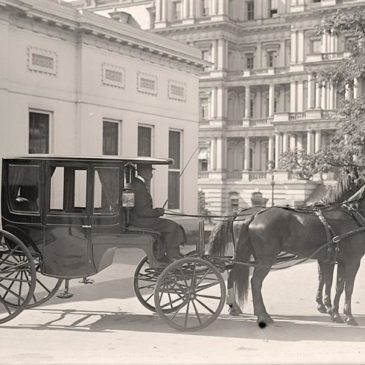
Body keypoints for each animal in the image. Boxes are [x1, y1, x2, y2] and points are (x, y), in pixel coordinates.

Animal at [208, 176, 364, 324]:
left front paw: (333, 311)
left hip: (244, 254)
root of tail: (252, 216)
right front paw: (346, 315)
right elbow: (342, 286)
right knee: (255, 282)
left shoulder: (336, 260)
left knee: (232, 274)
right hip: (265, 259)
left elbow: (336, 285)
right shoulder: (350, 261)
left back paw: (235, 307)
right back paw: (262, 314)